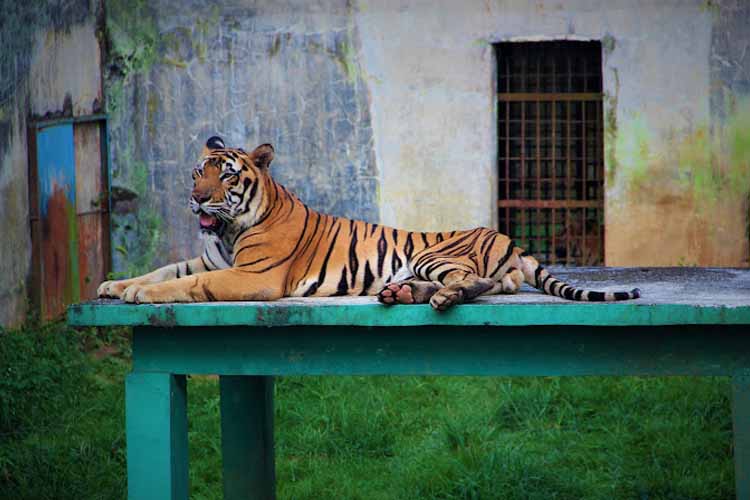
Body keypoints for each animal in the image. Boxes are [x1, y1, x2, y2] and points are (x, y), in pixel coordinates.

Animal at [97, 137, 644, 308]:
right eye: (198, 172)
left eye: (225, 175)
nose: (196, 199)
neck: (231, 228)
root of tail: (506, 236)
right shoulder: (206, 259)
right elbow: (165, 270)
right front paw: (114, 285)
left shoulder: (252, 276)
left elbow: (188, 286)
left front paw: (140, 294)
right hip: (426, 264)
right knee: (483, 285)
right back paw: (401, 294)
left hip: (435, 253)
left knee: (474, 282)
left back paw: (439, 299)